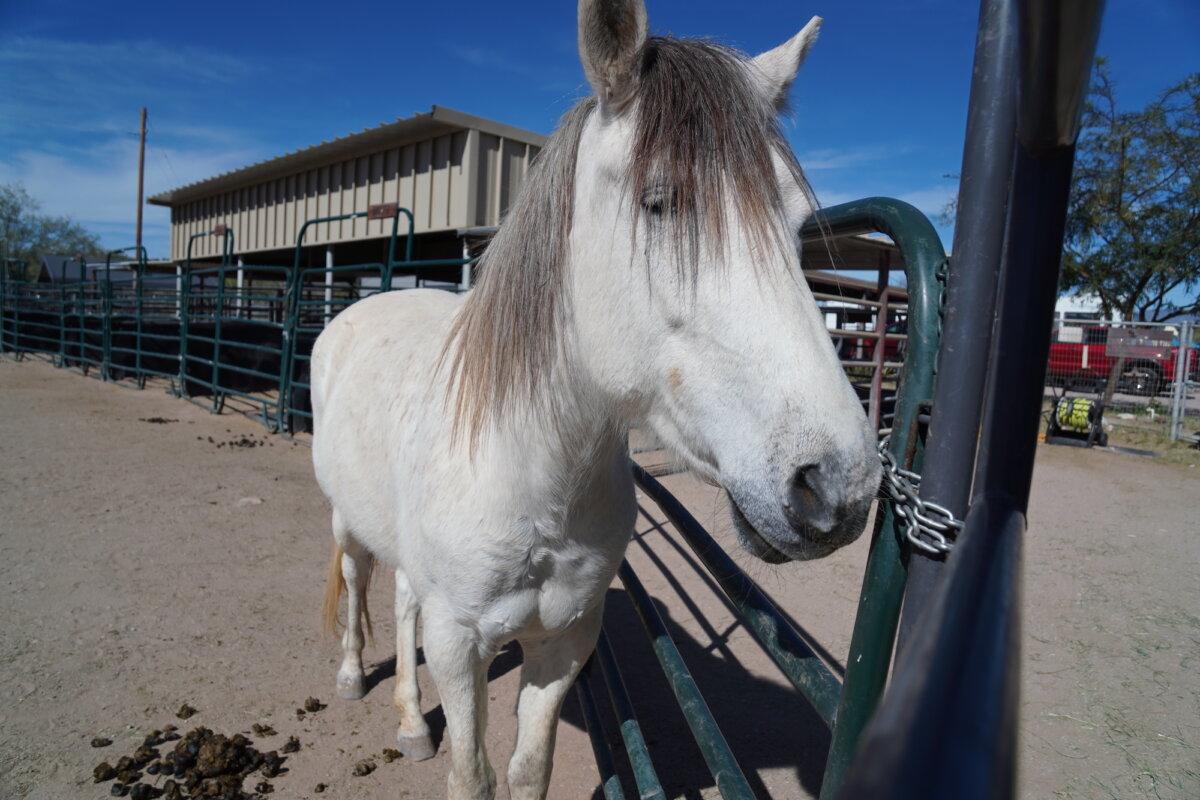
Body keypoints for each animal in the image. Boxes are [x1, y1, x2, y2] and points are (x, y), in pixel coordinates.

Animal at [311, 2, 880, 798]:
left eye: (796, 222)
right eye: (658, 200)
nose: (837, 487)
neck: (536, 478)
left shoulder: (566, 641)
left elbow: (528, 771)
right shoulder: (458, 645)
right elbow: (473, 775)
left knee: (400, 598)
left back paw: (411, 722)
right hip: (345, 519)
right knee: (360, 580)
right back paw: (352, 678)